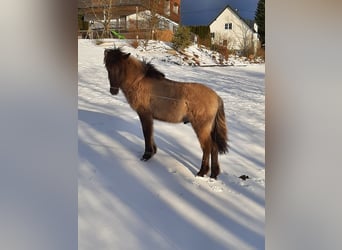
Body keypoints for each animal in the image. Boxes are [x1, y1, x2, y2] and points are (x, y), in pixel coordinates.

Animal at [103, 47, 228, 180]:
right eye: (108, 68)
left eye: (121, 68)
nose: (113, 91)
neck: (139, 82)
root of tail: (217, 97)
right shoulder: (149, 117)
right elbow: (150, 134)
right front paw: (153, 152)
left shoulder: (144, 114)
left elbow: (147, 134)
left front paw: (147, 155)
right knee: (214, 147)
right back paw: (214, 174)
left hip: (201, 127)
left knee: (207, 147)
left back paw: (202, 172)